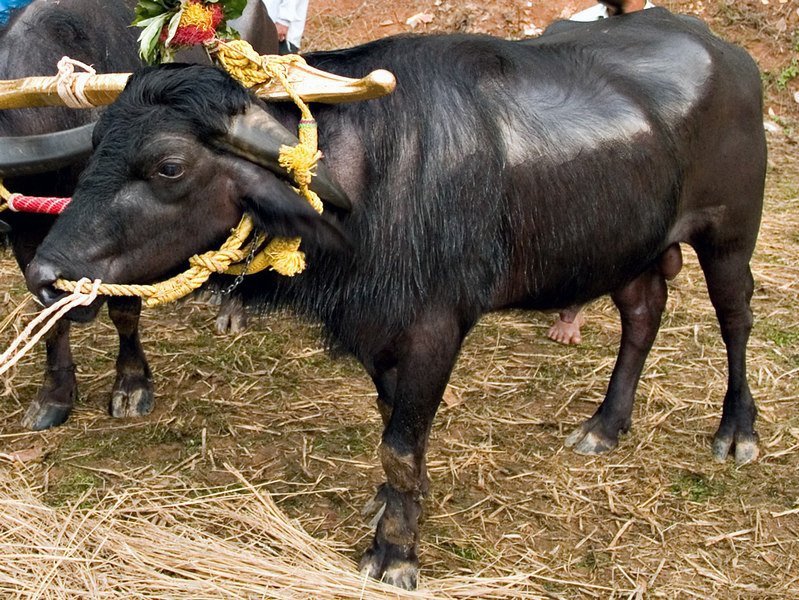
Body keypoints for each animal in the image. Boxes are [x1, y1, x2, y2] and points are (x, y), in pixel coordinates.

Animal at [0, 0, 275, 429]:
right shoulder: (28, 237)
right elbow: (50, 314)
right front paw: (54, 396)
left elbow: (124, 311)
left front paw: (131, 385)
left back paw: (232, 310)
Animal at [25, 9, 766, 588]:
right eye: (96, 145)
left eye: (168, 166)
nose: (44, 273)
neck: (375, 173)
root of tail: (726, 55)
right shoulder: (379, 330)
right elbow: (393, 429)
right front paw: (393, 508)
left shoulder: (436, 329)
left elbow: (401, 447)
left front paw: (395, 553)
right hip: (627, 247)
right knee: (643, 312)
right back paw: (606, 424)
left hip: (729, 234)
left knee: (735, 319)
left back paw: (736, 431)